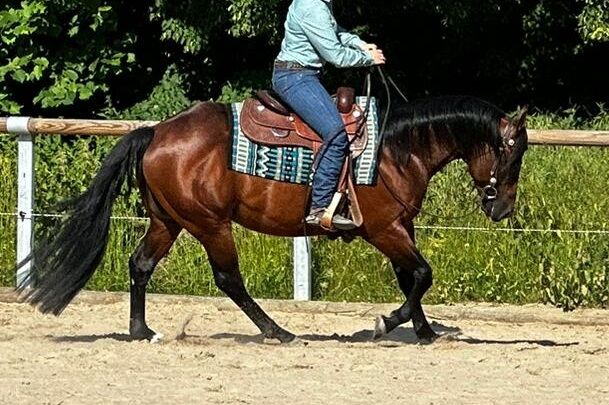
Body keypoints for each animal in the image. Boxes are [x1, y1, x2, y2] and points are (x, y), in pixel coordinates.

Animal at [15, 94, 528, 340]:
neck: (395, 151)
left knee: (140, 265)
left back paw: (142, 331)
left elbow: (412, 278)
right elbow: (422, 274)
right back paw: (277, 331)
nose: (502, 207)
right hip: (210, 225)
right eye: (513, 152)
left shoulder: (401, 228)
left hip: (168, 220)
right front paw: (390, 323)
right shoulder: (384, 229)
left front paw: (422, 331)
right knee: (229, 279)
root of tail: (156, 132)